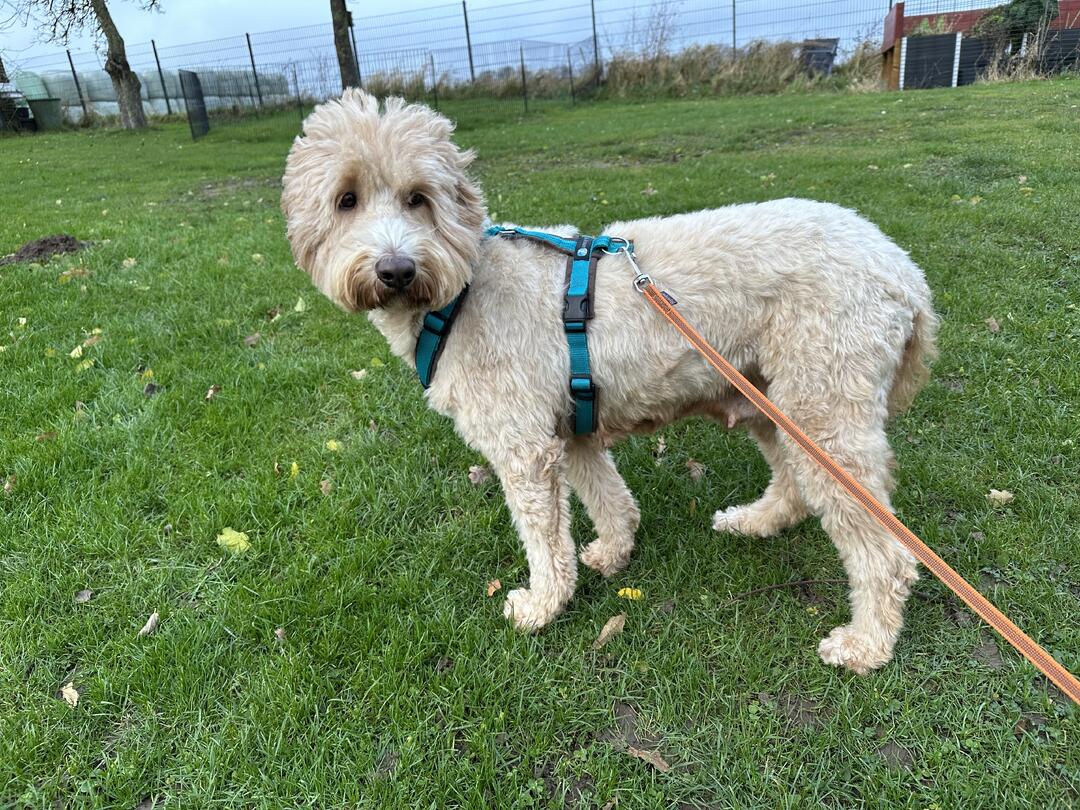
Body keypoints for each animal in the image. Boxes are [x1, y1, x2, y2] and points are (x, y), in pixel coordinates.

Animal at [281, 89, 938, 675]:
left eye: (418, 198)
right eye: (346, 200)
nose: (395, 269)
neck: (461, 286)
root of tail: (902, 268)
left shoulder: (523, 448)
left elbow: (543, 536)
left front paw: (542, 605)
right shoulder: (570, 428)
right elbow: (608, 497)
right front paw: (614, 552)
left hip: (821, 406)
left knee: (887, 555)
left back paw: (866, 644)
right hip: (769, 397)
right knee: (795, 486)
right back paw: (755, 520)